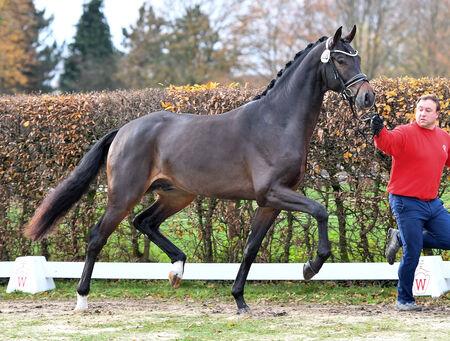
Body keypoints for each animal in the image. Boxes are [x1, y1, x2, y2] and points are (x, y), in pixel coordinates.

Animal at [25, 27, 376, 314]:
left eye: (358, 59)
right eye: (341, 61)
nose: (368, 97)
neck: (276, 122)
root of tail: (123, 130)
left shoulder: (271, 202)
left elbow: (250, 248)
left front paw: (240, 300)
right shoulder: (273, 193)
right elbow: (320, 211)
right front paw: (310, 267)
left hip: (177, 195)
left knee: (144, 222)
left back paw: (177, 269)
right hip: (124, 194)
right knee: (98, 236)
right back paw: (82, 299)